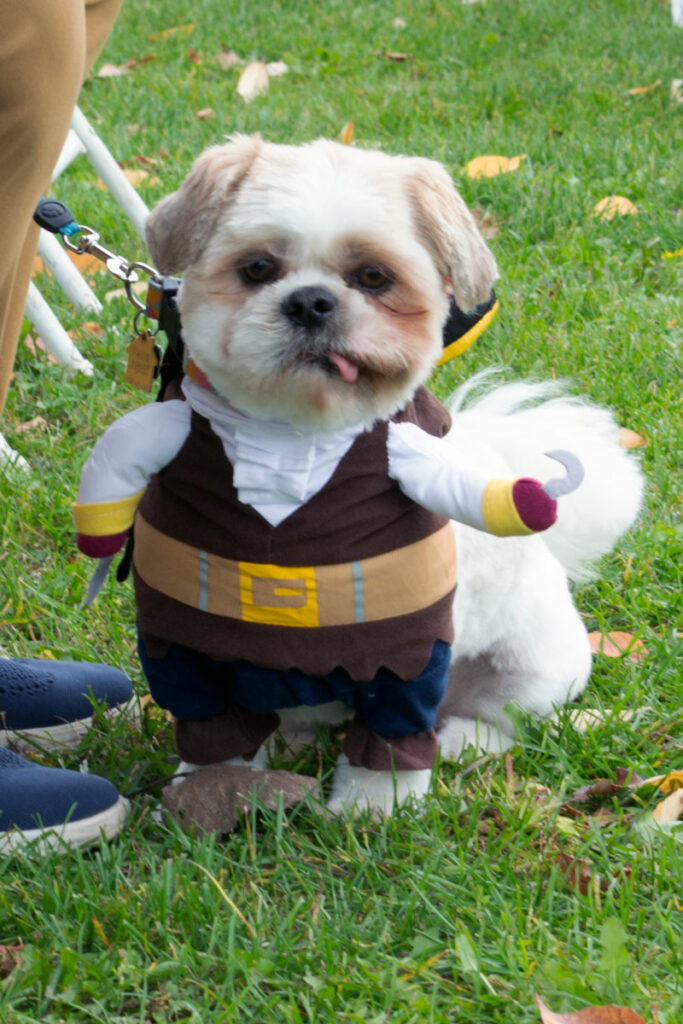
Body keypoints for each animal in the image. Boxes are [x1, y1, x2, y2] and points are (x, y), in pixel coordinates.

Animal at [73, 136, 643, 815]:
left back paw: (460, 741)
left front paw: (375, 807)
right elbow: (215, 735)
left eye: (374, 278)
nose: (311, 301)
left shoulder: (404, 658)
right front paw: (213, 793)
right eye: (257, 269)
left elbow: (391, 740)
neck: (292, 440)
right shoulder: (188, 653)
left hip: (529, 673)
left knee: (500, 723)